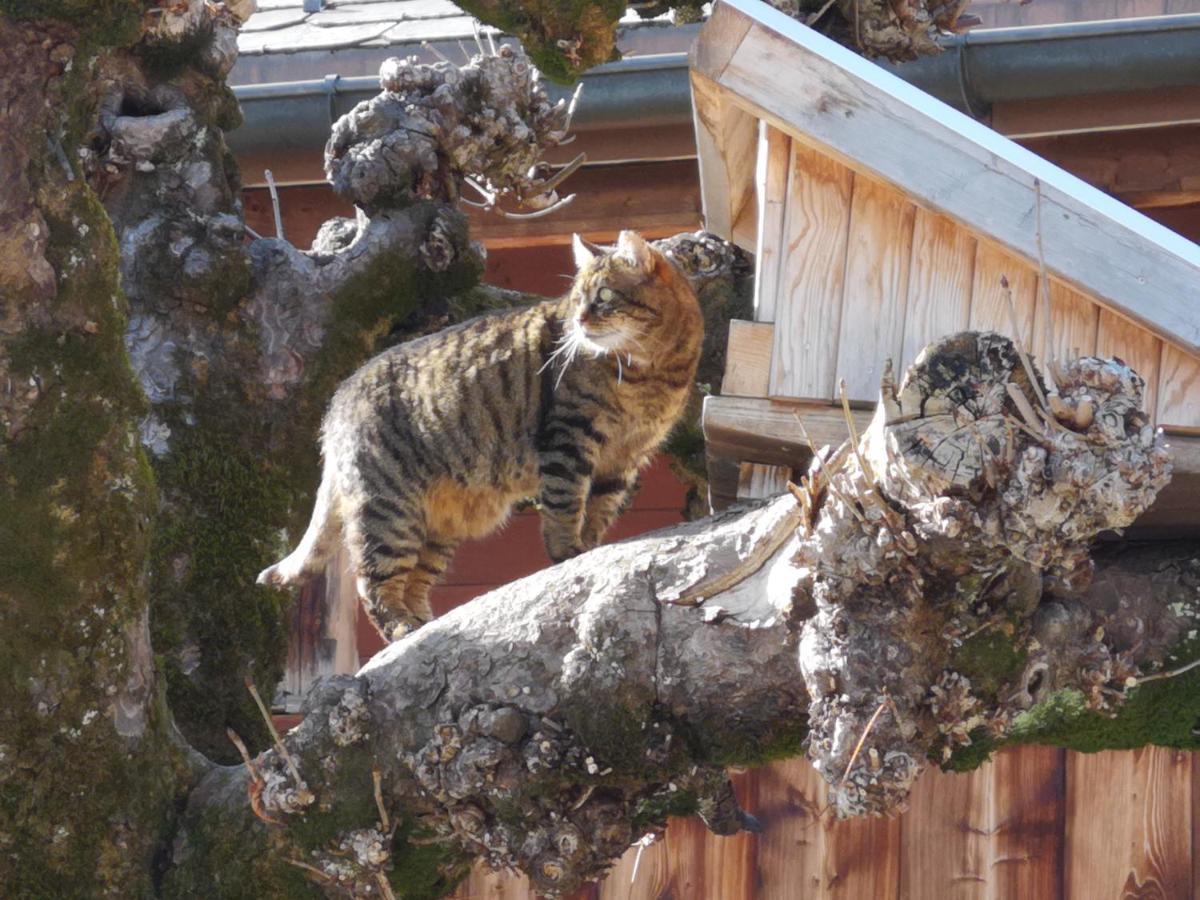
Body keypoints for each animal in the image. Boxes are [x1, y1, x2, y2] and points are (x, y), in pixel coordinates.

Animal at [255, 232, 700, 643]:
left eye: (604, 296)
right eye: (577, 300)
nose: (580, 322)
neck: (653, 370)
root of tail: (337, 400)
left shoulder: (626, 456)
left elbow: (600, 509)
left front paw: (590, 546)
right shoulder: (568, 437)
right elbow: (566, 504)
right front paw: (567, 552)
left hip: (437, 528)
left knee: (415, 582)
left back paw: (423, 623)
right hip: (387, 512)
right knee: (376, 584)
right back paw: (401, 629)